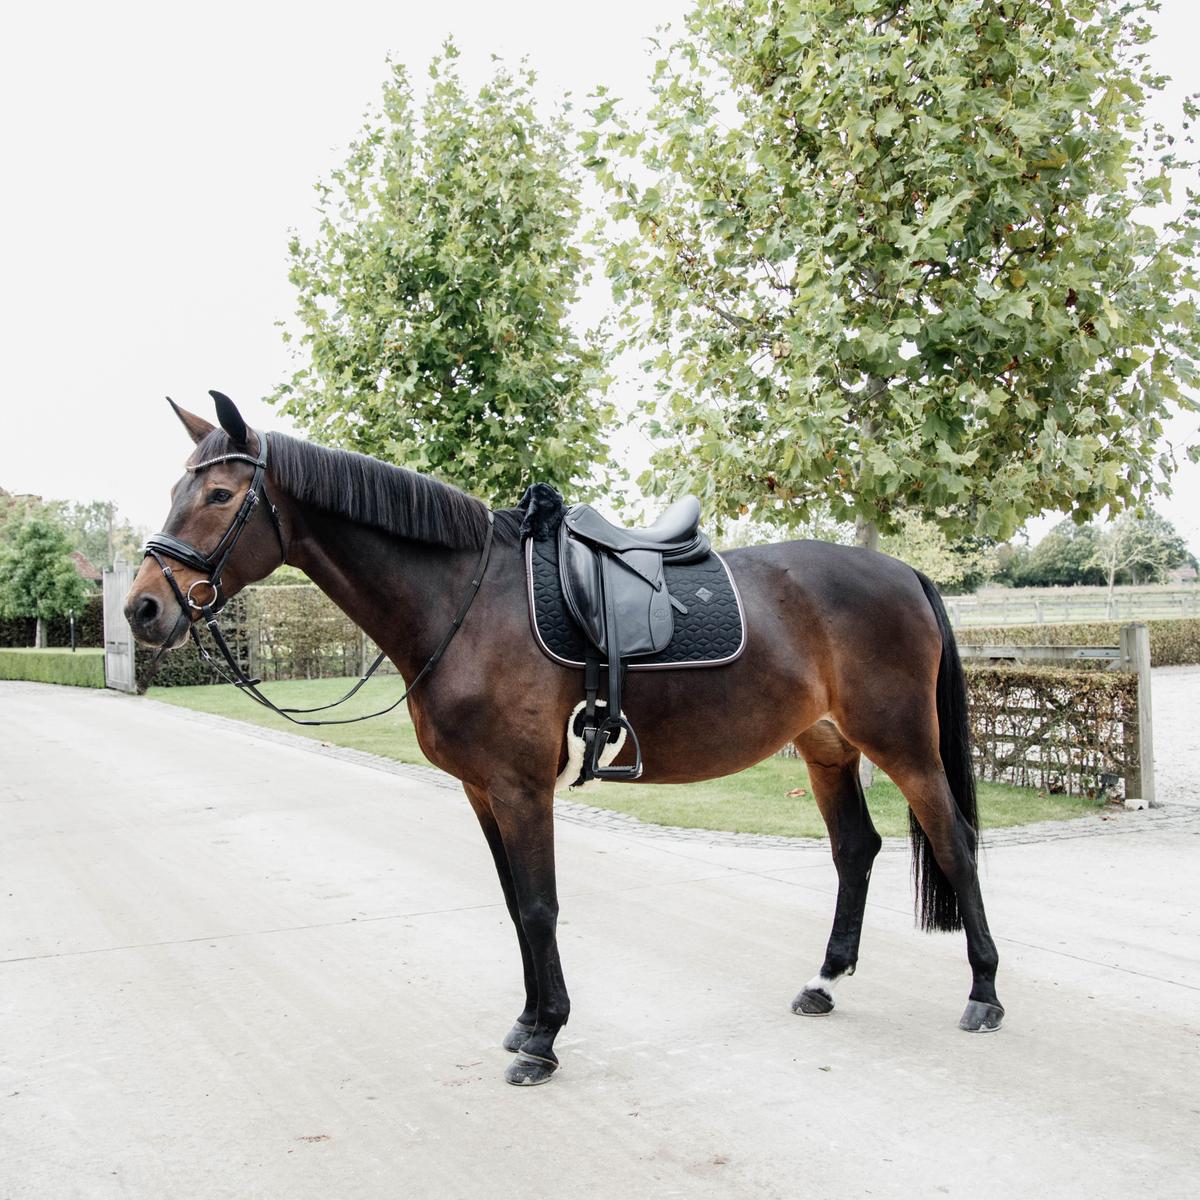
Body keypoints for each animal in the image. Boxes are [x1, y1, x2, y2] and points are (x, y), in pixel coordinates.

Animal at [124, 391, 1003, 1087]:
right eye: (177, 489)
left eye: (220, 492)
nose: (143, 609)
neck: (467, 602)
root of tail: (904, 573)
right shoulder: (481, 790)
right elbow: (517, 906)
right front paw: (527, 1019)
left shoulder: (520, 787)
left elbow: (541, 905)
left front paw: (543, 1040)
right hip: (826, 746)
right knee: (856, 848)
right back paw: (827, 983)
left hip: (904, 745)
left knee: (954, 841)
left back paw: (984, 994)